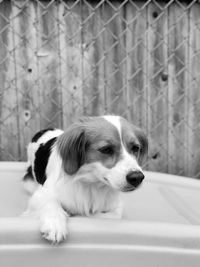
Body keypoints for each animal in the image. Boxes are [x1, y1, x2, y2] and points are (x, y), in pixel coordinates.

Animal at [23, 115, 148, 245]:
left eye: (136, 148)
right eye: (106, 149)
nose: (137, 177)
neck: (91, 184)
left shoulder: (116, 207)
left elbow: (105, 215)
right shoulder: (41, 194)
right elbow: (50, 202)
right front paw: (55, 224)